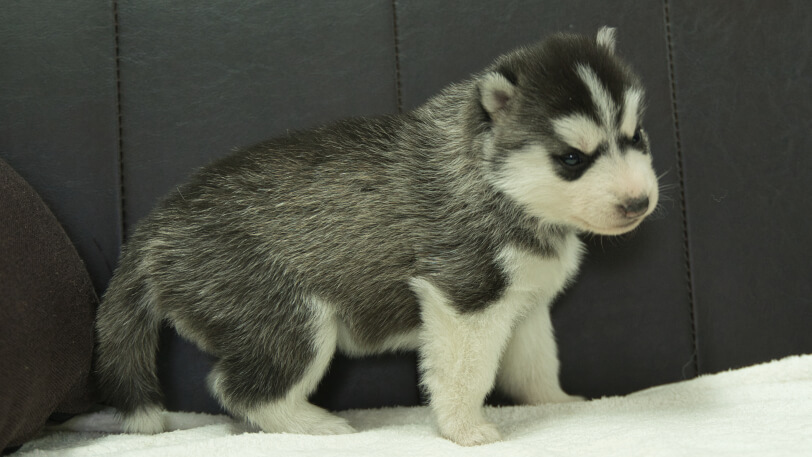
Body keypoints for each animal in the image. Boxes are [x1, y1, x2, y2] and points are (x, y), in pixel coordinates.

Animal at [92, 27, 656, 446]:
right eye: (571, 159)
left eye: (637, 136)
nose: (639, 203)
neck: (498, 184)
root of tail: (153, 228)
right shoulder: (463, 298)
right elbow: (465, 373)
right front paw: (465, 428)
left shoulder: (524, 303)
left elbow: (534, 363)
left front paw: (558, 402)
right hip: (290, 319)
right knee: (242, 390)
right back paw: (316, 424)